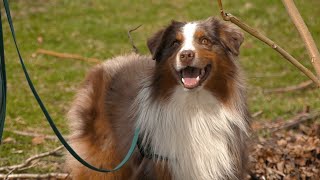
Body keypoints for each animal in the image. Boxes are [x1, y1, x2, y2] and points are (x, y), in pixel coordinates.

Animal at [65, 16, 250, 179]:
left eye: (204, 40)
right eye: (175, 43)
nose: (186, 55)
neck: (195, 105)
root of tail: (107, 63)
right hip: (103, 159)